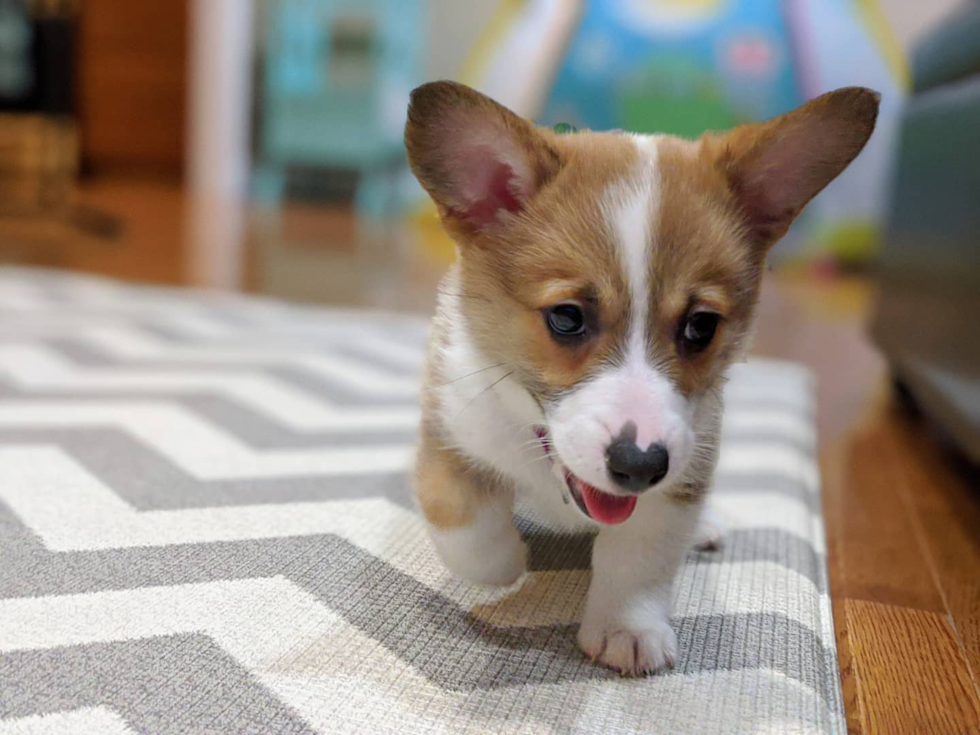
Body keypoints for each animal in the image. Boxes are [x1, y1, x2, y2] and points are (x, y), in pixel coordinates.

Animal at [402, 82, 876, 680]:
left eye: (701, 326)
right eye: (567, 317)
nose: (639, 465)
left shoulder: (683, 470)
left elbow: (638, 560)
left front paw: (627, 628)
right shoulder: (450, 431)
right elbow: (469, 532)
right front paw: (508, 562)